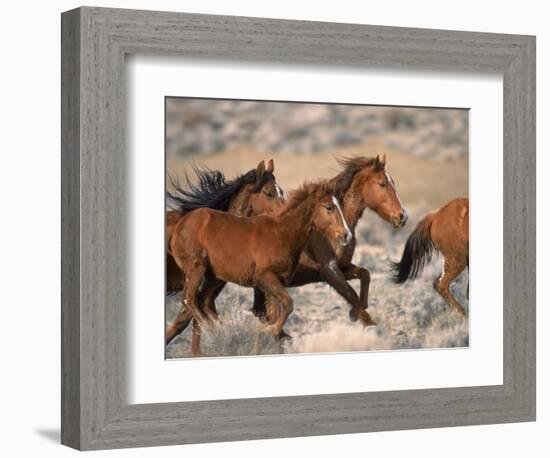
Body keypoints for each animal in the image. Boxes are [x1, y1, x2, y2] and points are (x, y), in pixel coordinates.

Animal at [166, 181, 352, 356]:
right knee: (189, 300)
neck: (282, 233)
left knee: (200, 303)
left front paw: (274, 337)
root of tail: (179, 226)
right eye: (329, 207)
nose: (346, 235)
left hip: (213, 277)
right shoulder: (265, 277)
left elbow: (276, 312)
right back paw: (217, 331)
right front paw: (269, 331)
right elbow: (288, 304)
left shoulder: (275, 284)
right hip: (196, 269)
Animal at [252, 156, 408, 328]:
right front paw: (365, 321)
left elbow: (365, 275)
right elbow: (352, 295)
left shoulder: (342, 267)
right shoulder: (328, 270)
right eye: (382, 183)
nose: (402, 216)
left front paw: (356, 311)